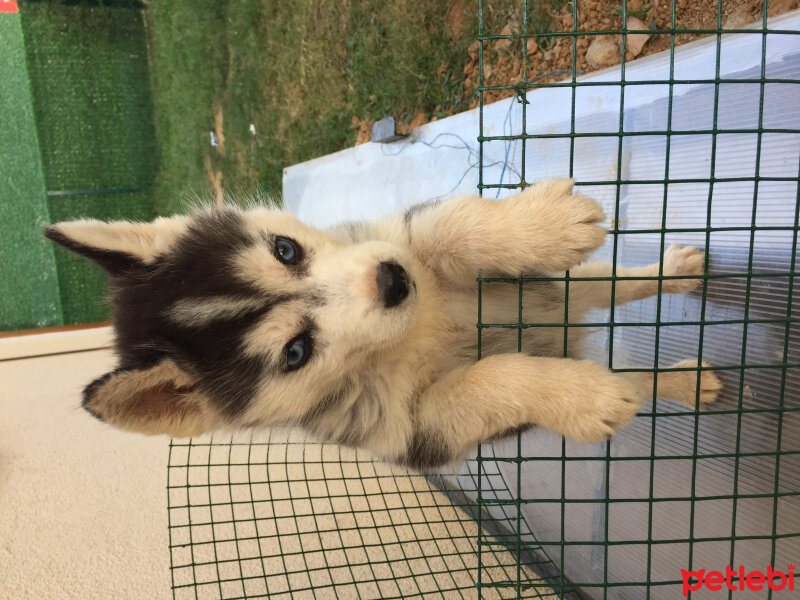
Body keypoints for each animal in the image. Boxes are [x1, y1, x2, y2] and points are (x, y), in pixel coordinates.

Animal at [45, 178, 720, 468]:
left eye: (285, 249)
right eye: (295, 352)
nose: (395, 281)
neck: (418, 329)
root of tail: (573, 328)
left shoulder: (403, 239)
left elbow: (443, 230)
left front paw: (541, 224)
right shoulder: (421, 428)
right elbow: (493, 377)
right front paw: (577, 398)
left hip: (557, 287)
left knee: (615, 282)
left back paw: (677, 276)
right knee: (630, 378)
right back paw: (671, 381)